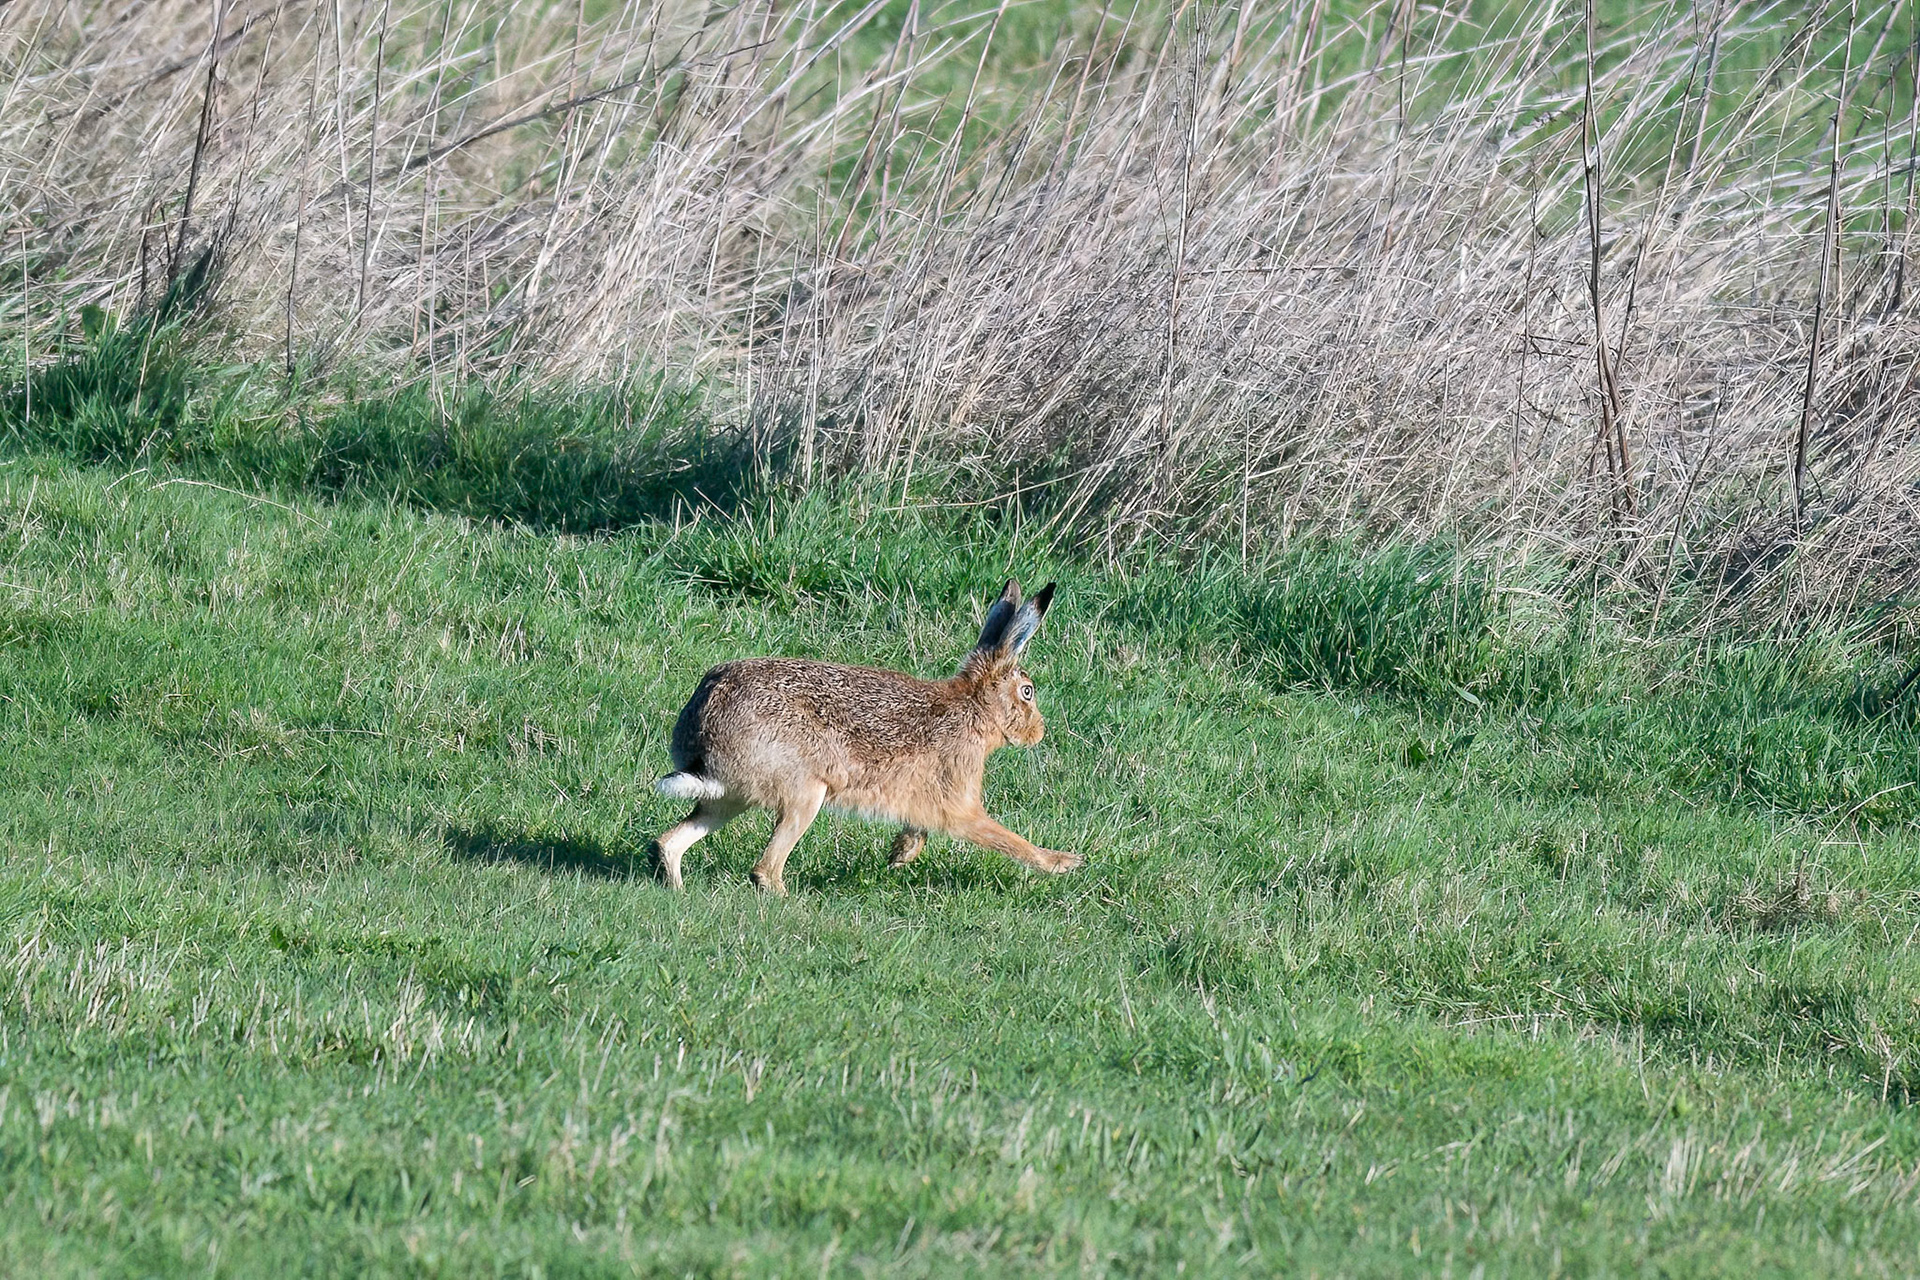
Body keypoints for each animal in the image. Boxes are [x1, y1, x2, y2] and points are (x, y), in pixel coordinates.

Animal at [649, 579, 1082, 894]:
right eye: (1028, 692)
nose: (1038, 732)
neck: (974, 708)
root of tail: (705, 728)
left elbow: (918, 827)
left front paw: (901, 855)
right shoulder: (961, 804)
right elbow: (1006, 838)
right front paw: (1062, 863)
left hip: (731, 797)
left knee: (672, 839)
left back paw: (677, 890)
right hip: (805, 793)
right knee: (764, 870)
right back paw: (790, 901)